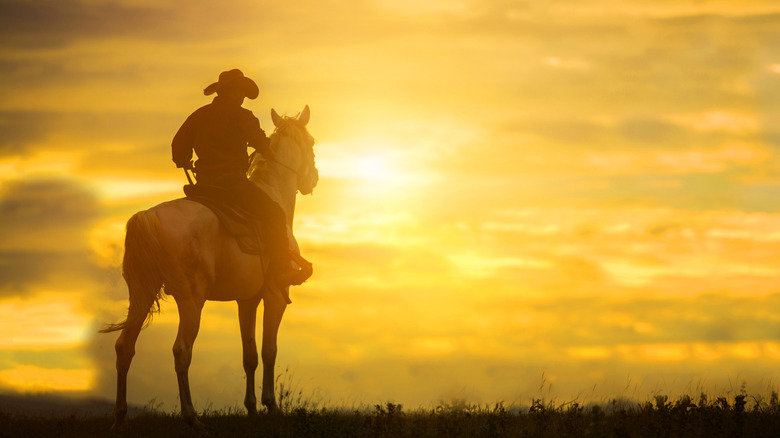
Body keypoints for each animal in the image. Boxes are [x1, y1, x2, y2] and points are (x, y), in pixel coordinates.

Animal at [101, 105, 320, 428]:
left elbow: (249, 354)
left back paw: (119, 418)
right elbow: (269, 351)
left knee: (124, 347)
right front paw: (271, 405)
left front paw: (251, 408)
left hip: (141, 294)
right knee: (181, 350)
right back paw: (191, 417)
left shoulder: (247, 300)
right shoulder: (275, 296)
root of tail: (148, 216)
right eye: (312, 142)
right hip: (191, 300)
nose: (313, 179)